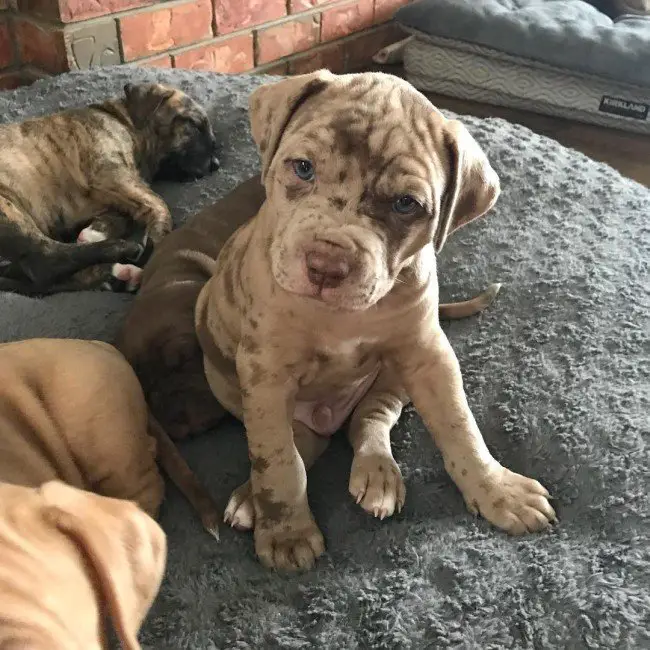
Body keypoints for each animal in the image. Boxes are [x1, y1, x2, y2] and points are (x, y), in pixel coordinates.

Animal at [0, 81, 219, 294]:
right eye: (194, 125)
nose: (215, 164)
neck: (123, 121)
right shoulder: (112, 175)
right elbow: (158, 204)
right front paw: (158, 240)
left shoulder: (116, 189)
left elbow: (125, 214)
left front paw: (95, 231)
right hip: (8, 208)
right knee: (43, 261)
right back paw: (124, 252)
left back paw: (119, 275)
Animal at [191, 71, 552, 568]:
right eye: (302, 168)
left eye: (405, 204)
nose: (326, 266)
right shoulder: (266, 372)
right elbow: (277, 458)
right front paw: (285, 531)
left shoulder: (428, 354)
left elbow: (460, 426)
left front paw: (498, 490)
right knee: (297, 444)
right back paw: (251, 497)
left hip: (392, 379)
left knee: (369, 421)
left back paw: (378, 473)